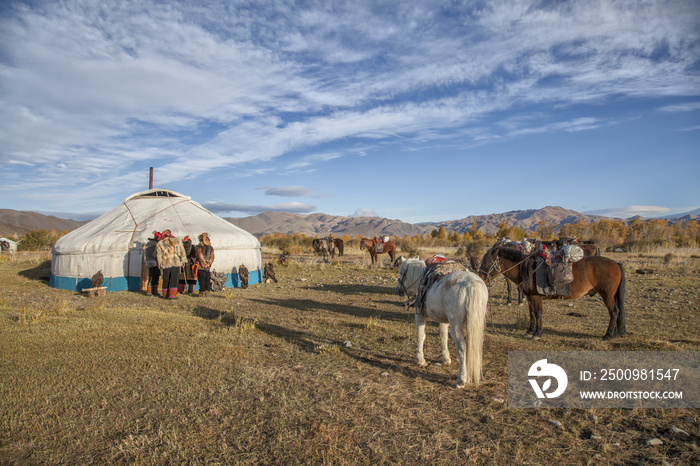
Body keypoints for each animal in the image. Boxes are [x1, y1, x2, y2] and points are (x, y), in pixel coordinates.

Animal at [396, 258, 490, 386]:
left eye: (401, 273)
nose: (398, 290)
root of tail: (472, 284)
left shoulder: (420, 314)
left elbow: (421, 335)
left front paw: (420, 360)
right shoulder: (444, 320)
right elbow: (443, 336)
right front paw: (446, 358)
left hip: (456, 323)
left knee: (462, 346)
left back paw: (461, 379)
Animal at [478, 246, 628, 340]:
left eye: (489, 262)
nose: (481, 277)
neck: (527, 269)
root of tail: (616, 263)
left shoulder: (536, 297)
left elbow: (538, 314)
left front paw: (537, 334)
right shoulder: (530, 298)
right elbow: (532, 314)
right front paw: (529, 331)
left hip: (607, 295)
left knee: (614, 312)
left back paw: (607, 335)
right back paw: (614, 334)